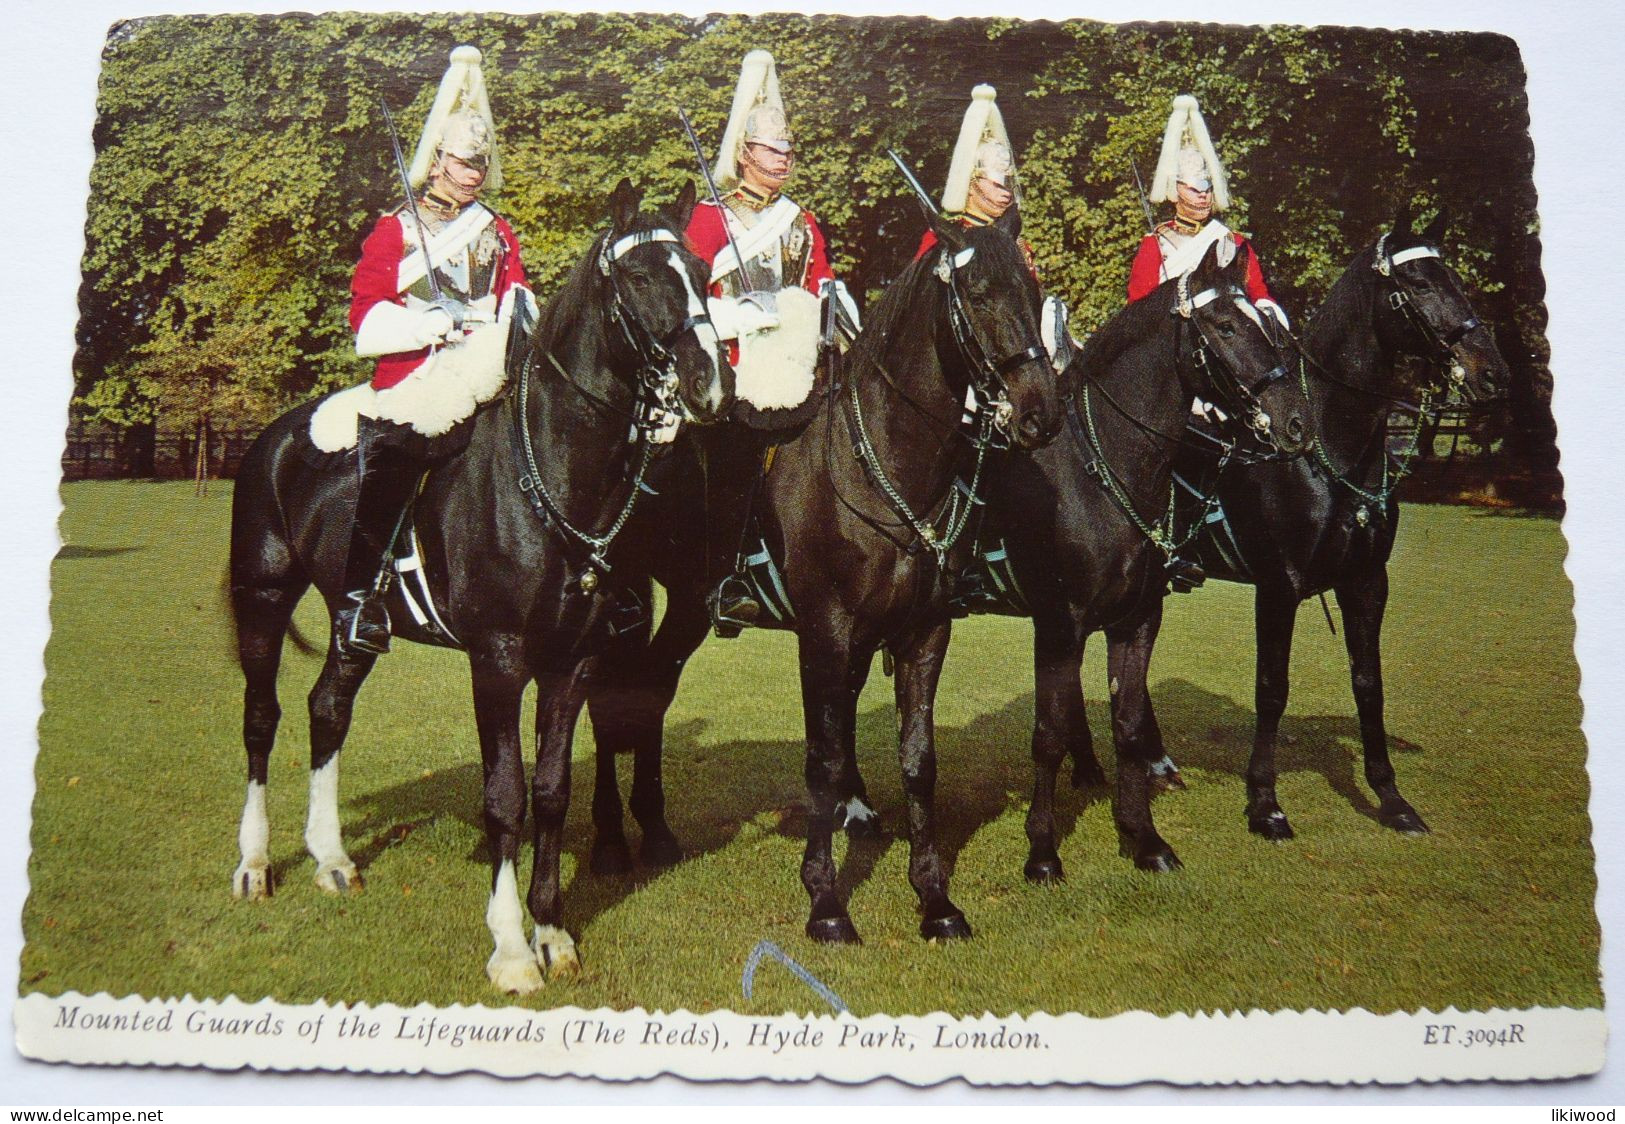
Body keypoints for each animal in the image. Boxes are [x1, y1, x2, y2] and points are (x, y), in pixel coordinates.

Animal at [229, 180, 737, 994]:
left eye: (698, 270)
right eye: (640, 277)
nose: (711, 383)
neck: (553, 469)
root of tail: (275, 436)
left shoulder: (572, 664)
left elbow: (551, 792)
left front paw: (553, 932)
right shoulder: (497, 663)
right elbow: (505, 797)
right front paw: (510, 948)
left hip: (351, 624)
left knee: (327, 709)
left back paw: (332, 859)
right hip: (263, 599)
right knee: (261, 718)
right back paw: (252, 863)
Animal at [585, 211, 1066, 942]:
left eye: (1032, 289)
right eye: (979, 294)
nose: (1040, 412)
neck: (883, 461)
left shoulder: (924, 632)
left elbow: (918, 760)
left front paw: (934, 898)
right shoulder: (826, 633)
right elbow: (824, 759)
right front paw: (827, 902)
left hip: (688, 606)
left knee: (649, 689)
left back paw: (657, 831)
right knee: (604, 695)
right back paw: (611, 840)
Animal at [988, 243, 1319, 877]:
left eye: (1270, 326)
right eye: (1224, 325)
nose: (1296, 422)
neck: (1102, 468)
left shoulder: (1136, 619)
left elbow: (1130, 724)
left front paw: (1142, 836)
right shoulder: (1059, 624)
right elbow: (1045, 733)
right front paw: (1042, 850)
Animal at [1124, 212, 1501, 844]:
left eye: (1454, 278)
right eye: (1421, 284)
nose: (1491, 370)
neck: (1332, 444)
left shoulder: (1366, 583)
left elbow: (1368, 683)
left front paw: (1392, 798)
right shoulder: (1279, 588)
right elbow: (1271, 689)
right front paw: (1264, 803)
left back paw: (1156, 762)